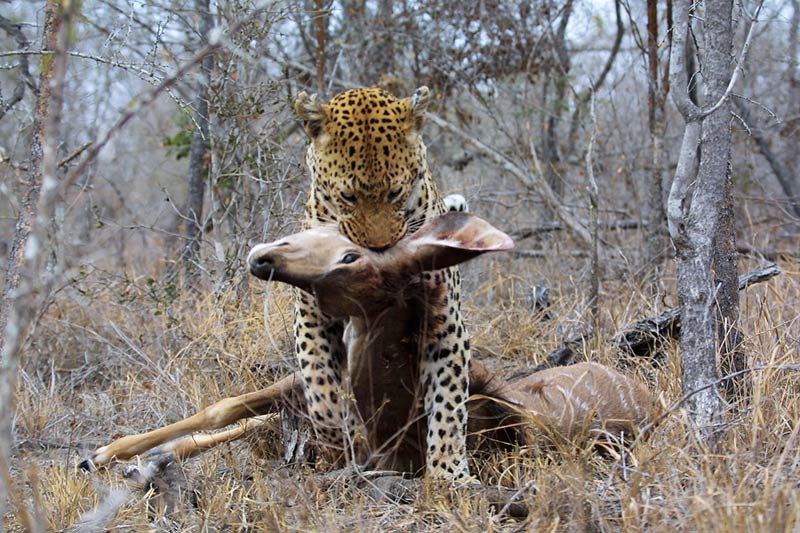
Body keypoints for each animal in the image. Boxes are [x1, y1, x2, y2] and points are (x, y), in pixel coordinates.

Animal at [292, 86, 471, 481]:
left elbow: (449, 403)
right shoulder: (312, 315)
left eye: (395, 193)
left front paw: (449, 473)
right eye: (348, 197)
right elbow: (319, 383)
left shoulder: (445, 323)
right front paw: (334, 442)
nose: (378, 249)